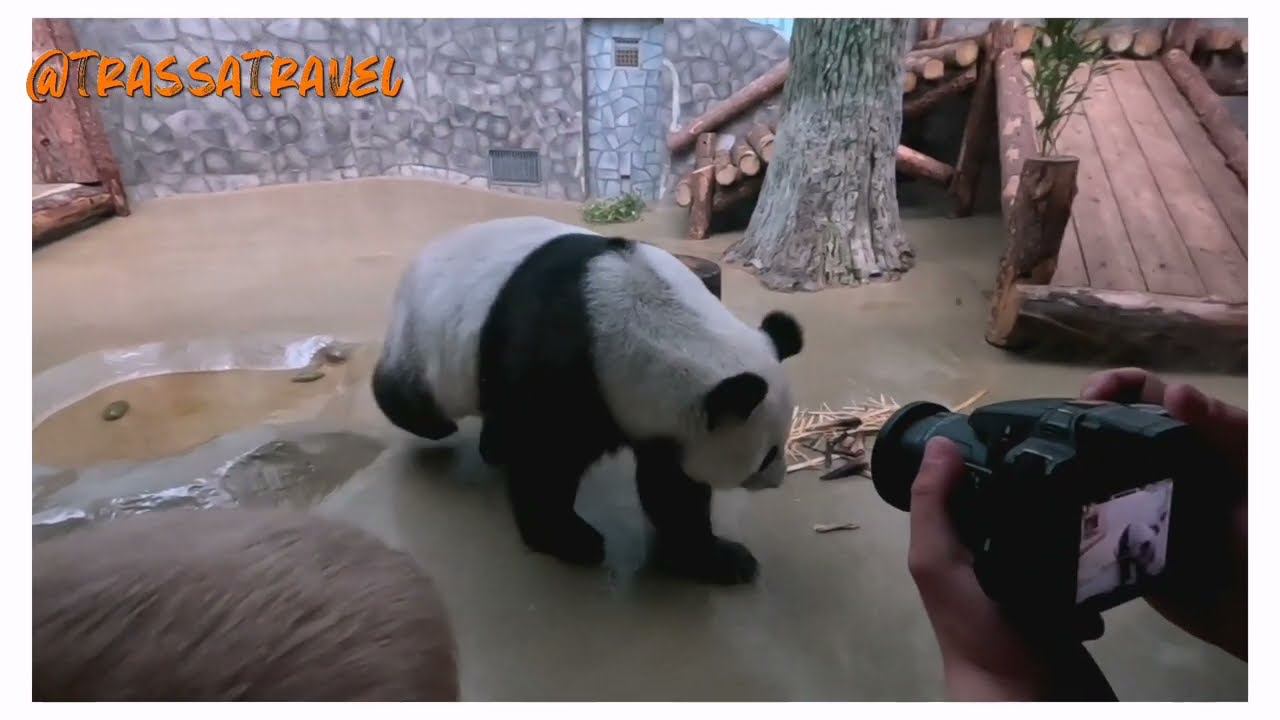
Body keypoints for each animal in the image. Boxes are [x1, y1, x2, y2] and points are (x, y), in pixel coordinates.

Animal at [371, 213, 803, 584]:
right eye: (767, 454)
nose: (778, 479)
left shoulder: (658, 419)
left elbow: (672, 488)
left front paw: (719, 558)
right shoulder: (562, 366)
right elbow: (544, 458)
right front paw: (572, 540)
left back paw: (493, 447)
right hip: (430, 338)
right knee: (412, 392)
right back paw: (433, 422)